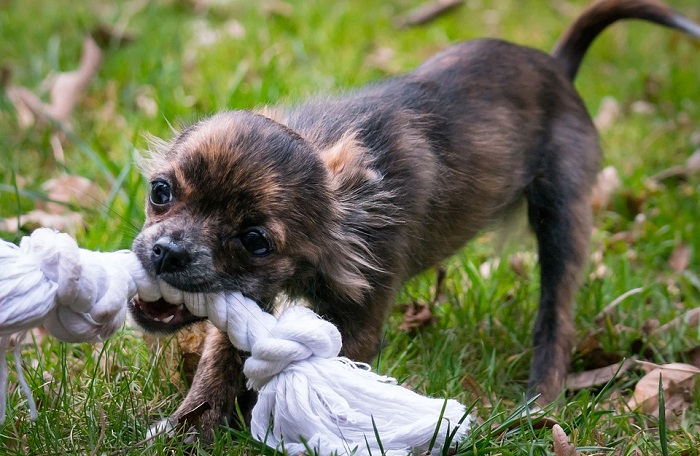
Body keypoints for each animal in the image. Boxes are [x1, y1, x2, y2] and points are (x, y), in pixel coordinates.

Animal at [127, 0, 700, 442]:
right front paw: (187, 430)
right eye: (161, 192)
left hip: (563, 217)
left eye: (255, 240)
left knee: (555, 318)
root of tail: (558, 67)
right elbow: (218, 363)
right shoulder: (249, 300)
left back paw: (539, 400)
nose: (167, 252)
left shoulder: (358, 319)